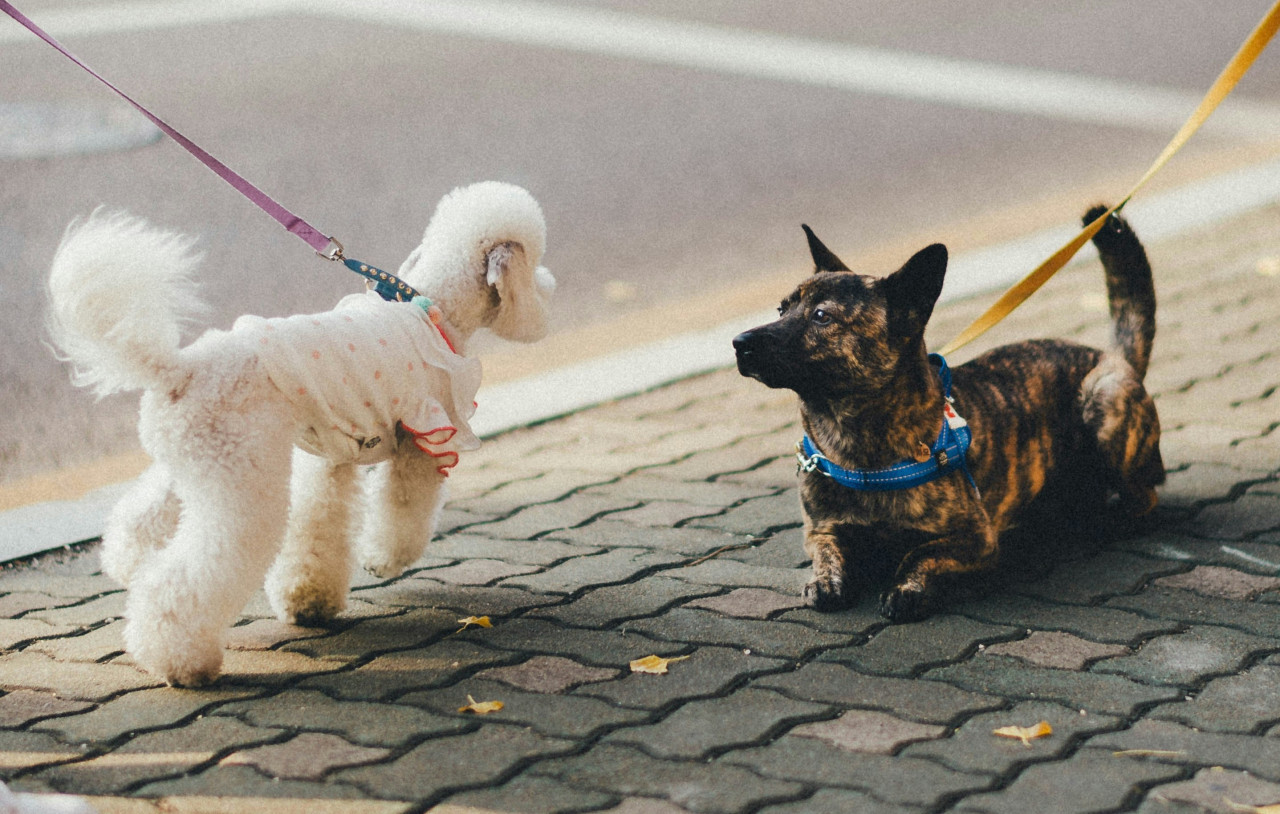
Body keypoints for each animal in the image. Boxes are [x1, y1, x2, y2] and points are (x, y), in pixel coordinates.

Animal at [732, 206, 1162, 619]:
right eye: (781, 309)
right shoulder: (820, 531)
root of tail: (1114, 357)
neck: (855, 441)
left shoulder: (977, 537)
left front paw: (906, 588)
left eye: (822, 316)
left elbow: (920, 551)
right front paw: (825, 580)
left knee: (1145, 496)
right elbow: (827, 551)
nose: (739, 342)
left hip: (1104, 404)